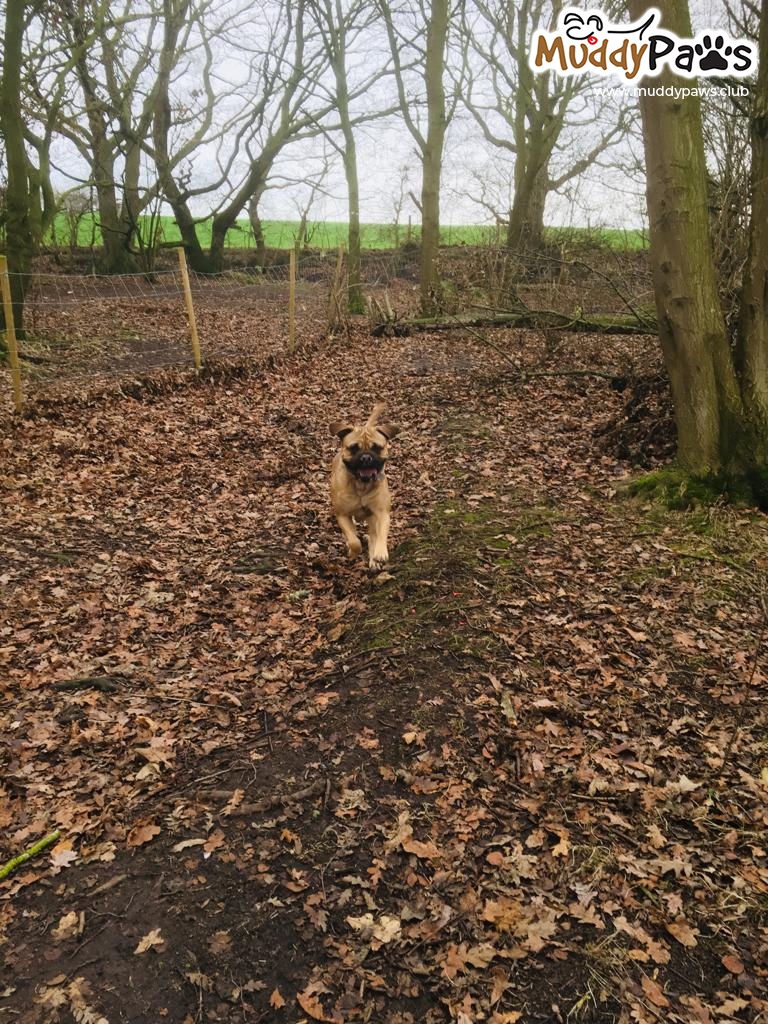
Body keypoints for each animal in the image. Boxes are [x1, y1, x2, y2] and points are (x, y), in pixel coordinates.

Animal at [329, 402, 400, 569]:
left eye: (377, 447)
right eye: (354, 448)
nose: (366, 457)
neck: (361, 485)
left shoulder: (381, 513)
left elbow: (380, 534)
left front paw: (379, 554)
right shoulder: (342, 515)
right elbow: (354, 541)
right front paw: (353, 552)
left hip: (372, 518)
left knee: (373, 535)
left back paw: (374, 559)